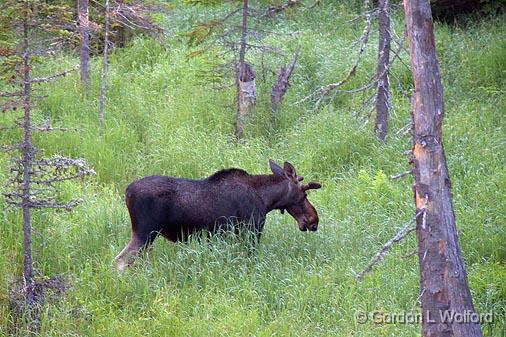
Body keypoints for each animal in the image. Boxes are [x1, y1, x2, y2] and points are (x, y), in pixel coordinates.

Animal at [114, 158, 320, 270]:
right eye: (304, 194)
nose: (314, 220)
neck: (267, 199)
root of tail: (127, 192)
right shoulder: (251, 230)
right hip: (145, 233)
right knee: (119, 261)